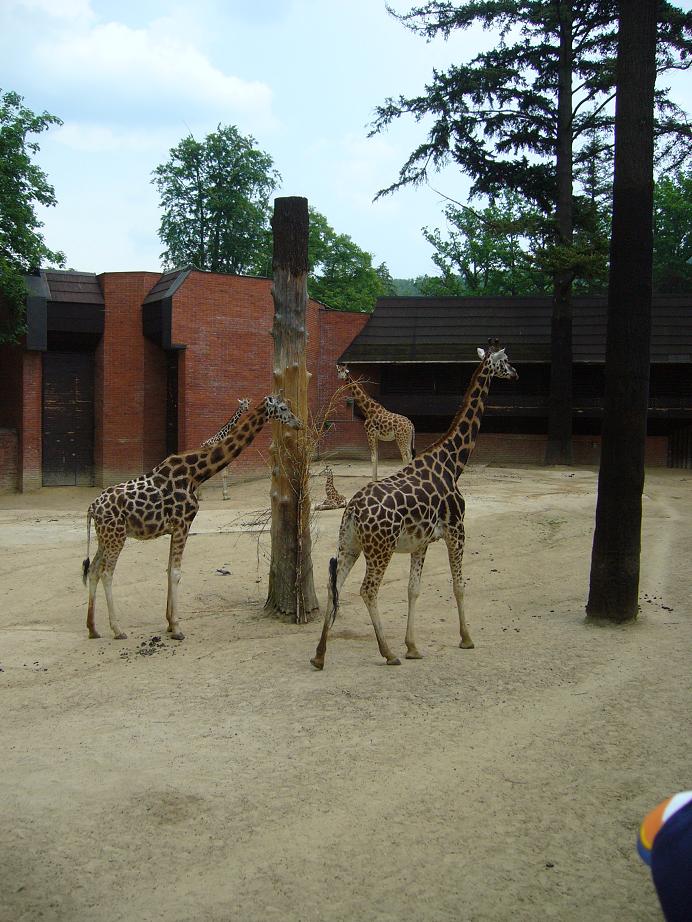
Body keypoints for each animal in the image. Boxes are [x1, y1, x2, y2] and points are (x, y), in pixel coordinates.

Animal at [83, 394, 300, 640]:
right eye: (283, 408)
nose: (298, 423)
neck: (196, 474)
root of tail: (92, 508)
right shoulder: (183, 524)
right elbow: (176, 573)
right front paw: (177, 629)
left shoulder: (174, 528)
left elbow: (169, 570)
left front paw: (169, 623)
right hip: (116, 537)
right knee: (107, 573)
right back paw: (117, 630)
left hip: (105, 537)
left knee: (93, 570)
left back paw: (93, 628)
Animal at [310, 338, 516, 668]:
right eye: (506, 360)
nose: (516, 373)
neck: (453, 462)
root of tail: (352, 510)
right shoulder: (457, 531)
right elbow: (459, 585)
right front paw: (466, 639)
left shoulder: (422, 542)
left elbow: (413, 589)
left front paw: (413, 646)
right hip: (380, 549)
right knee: (367, 590)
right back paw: (388, 652)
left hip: (349, 544)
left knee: (334, 586)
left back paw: (319, 655)